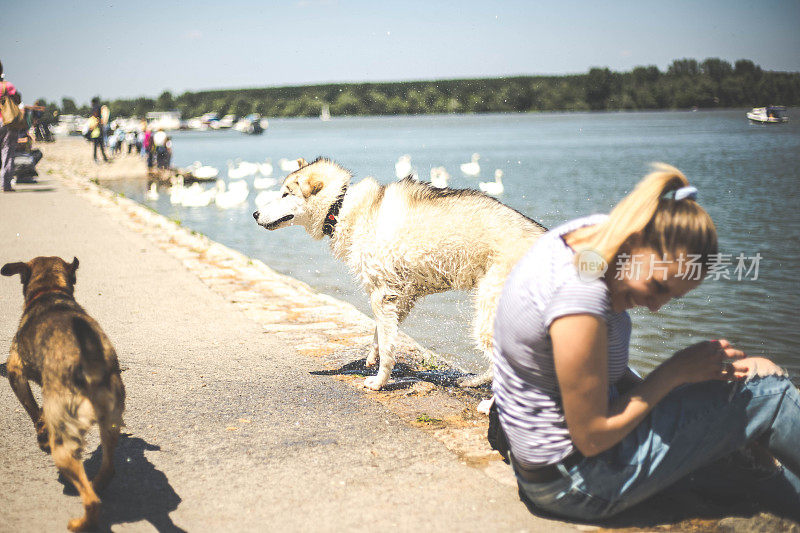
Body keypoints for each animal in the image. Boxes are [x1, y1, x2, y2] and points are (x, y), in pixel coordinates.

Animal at [1, 256, 125, 528]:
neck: (50, 291)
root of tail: (90, 368)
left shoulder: (15, 370)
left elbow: (34, 411)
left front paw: (41, 434)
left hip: (64, 441)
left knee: (91, 501)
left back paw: (79, 524)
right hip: (111, 425)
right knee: (108, 469)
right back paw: (97, 484)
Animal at [253, 158, 548, 390]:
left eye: (285, 194)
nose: (254, 213)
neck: (342, 207)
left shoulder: (382, 295)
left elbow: (387, 347)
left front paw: (379, 381)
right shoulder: (400, 297)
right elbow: (380, 335)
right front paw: (371, 357)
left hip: (490, 315)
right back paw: (474, 382)